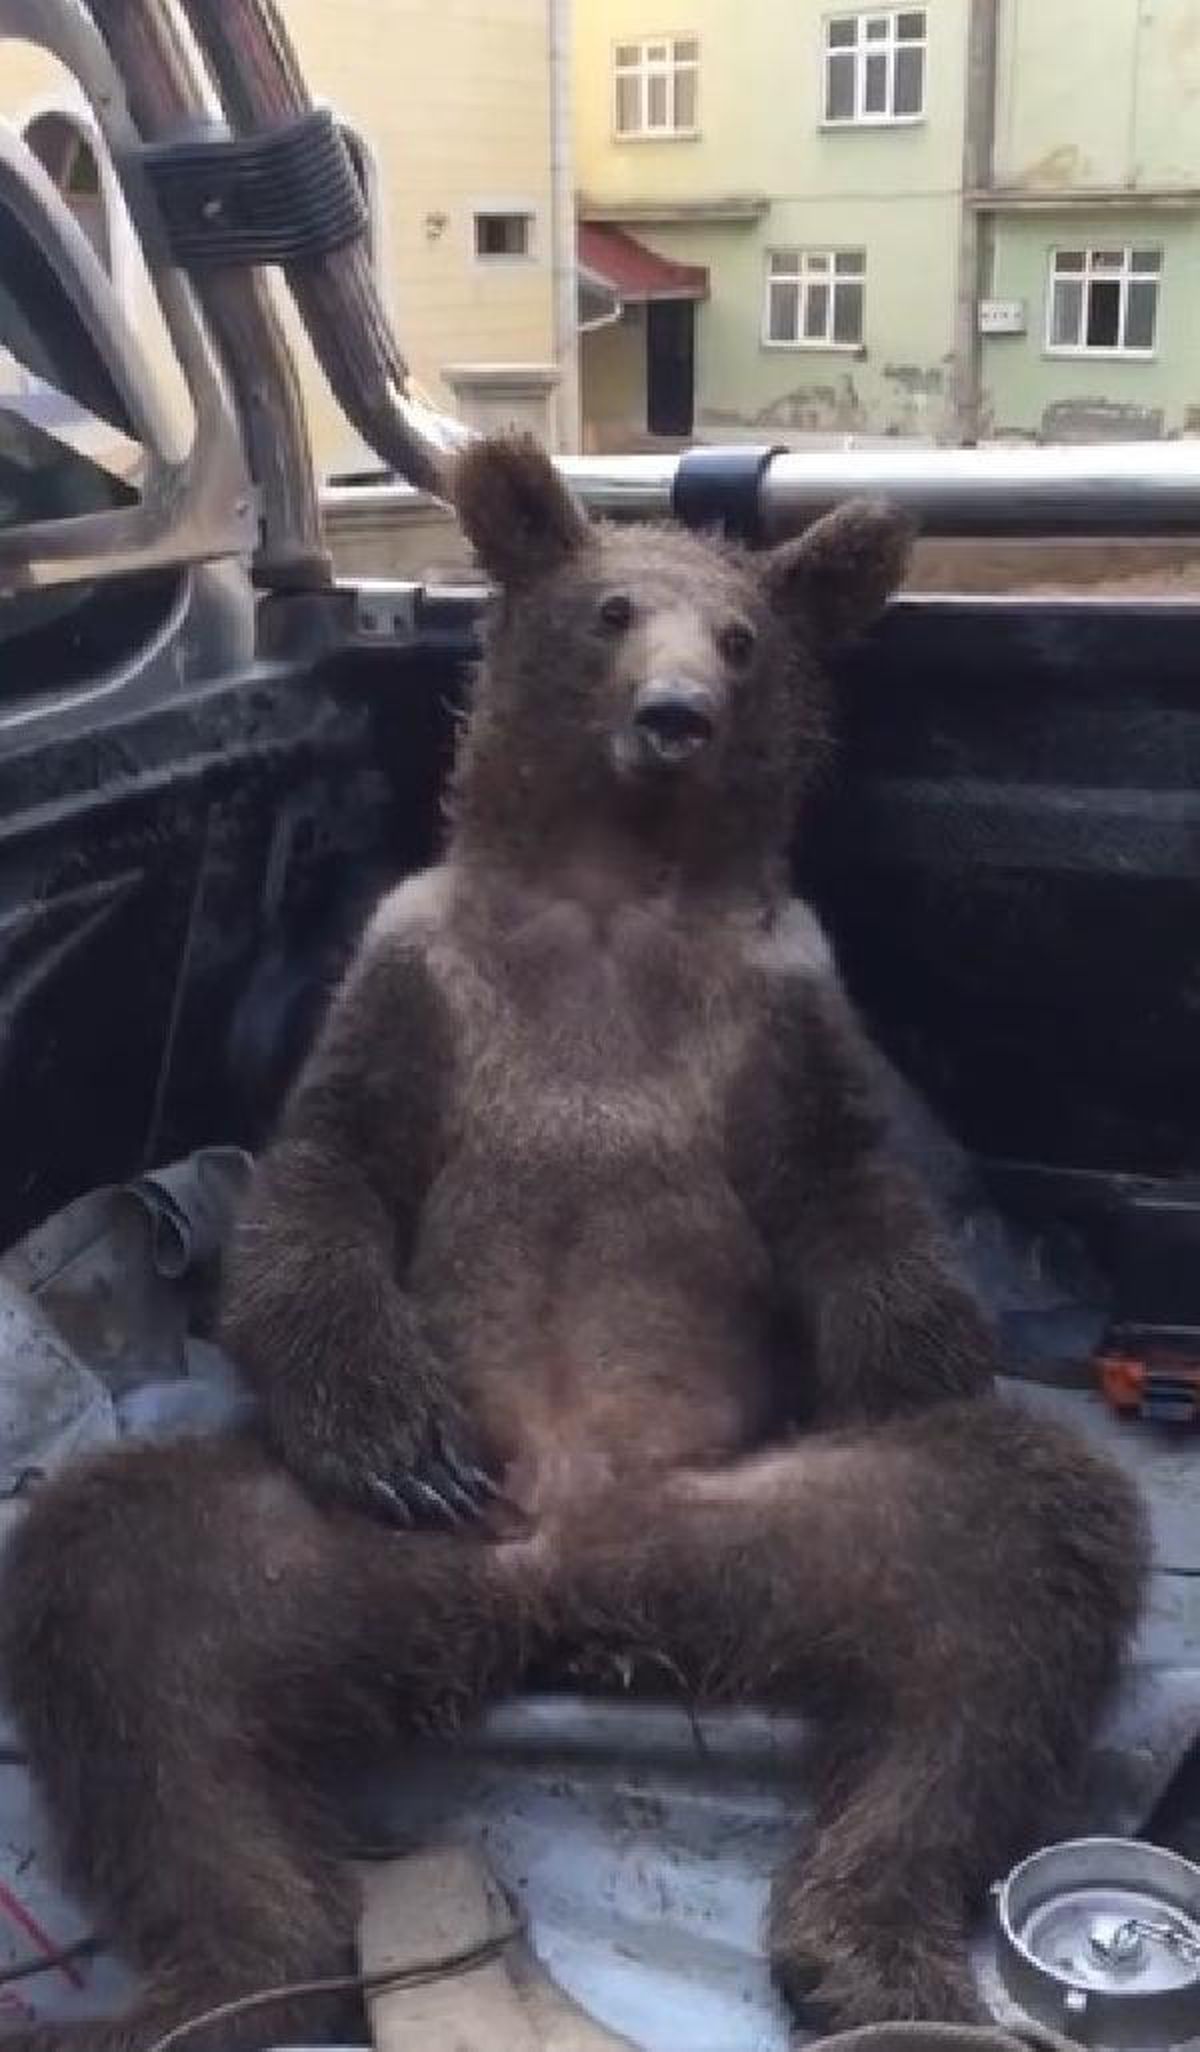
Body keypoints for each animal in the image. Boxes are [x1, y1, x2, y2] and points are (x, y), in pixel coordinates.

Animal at [0, 434, 1146, 2052]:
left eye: (742, 636)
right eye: (611, 612)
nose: (677, 715)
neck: (613, 889)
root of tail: (567, 1597)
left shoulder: (779, 1007)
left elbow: (851, 1201)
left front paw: (903, 1371)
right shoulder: (415, 972)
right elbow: (328, 1186)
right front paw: (399, 1438)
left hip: (770, 1537)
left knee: (1008, 1582)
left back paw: (874, 1953)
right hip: (341, 1566)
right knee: (128, 1610)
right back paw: (230, 1978)